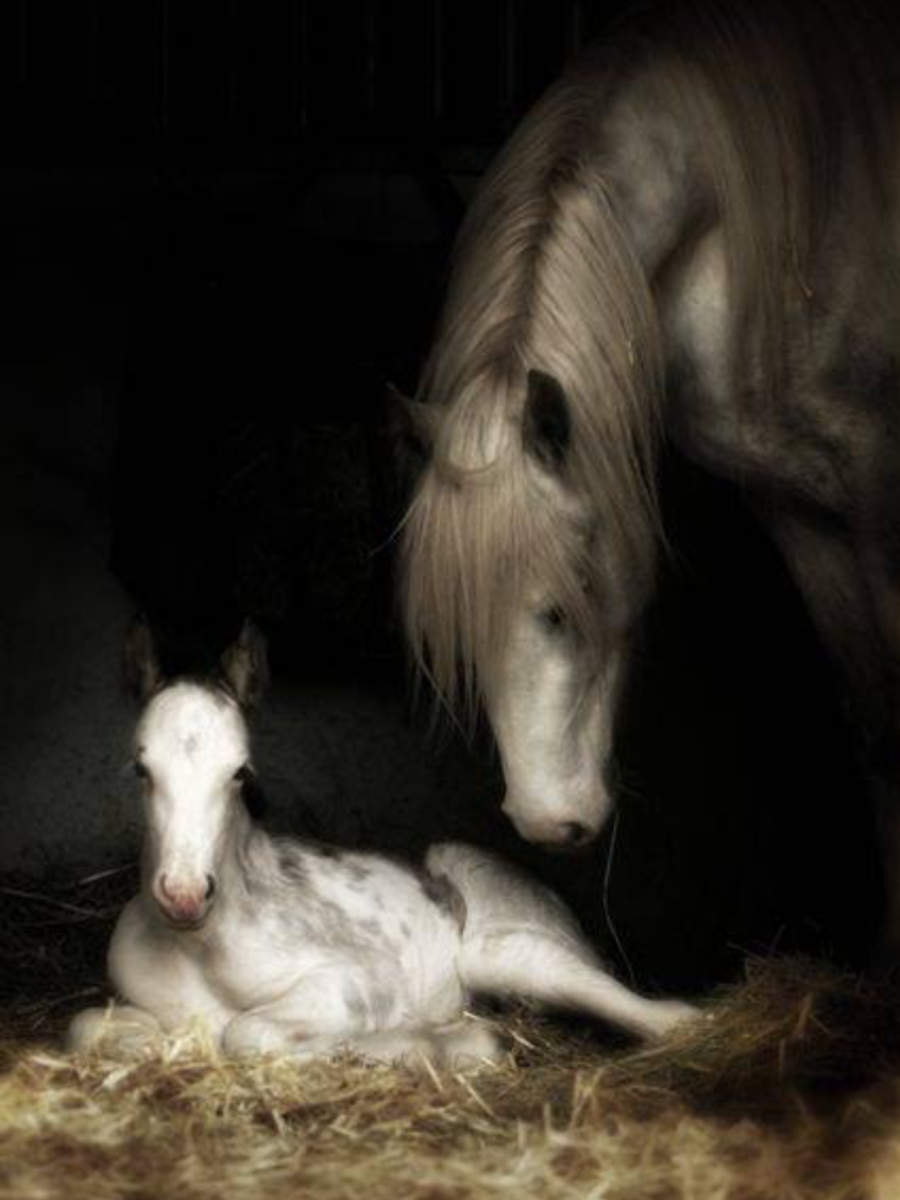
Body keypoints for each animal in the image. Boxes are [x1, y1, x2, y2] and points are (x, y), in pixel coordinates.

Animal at [66, 618, 694, 1066]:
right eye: (141, 768)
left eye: (240, 772)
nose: (185, 894)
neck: (198, 948)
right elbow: (85, 1027)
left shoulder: (357, 981)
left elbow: (246, 1033)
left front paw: (430, 1045)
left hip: (508, 955)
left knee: (670, 1017)